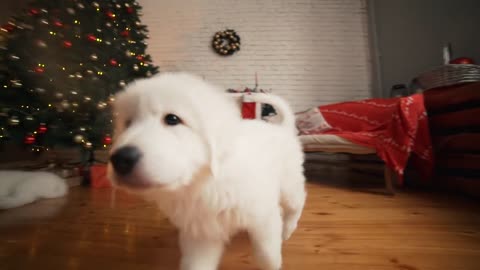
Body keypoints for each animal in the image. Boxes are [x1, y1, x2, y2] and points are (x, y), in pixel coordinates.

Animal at [107, 72, 306, 270]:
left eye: (172, 119)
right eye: (128, 123)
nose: (120, 159)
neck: (204, 182)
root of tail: (282, 128)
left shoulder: (263, 216)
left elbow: (267, 255)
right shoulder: (201, 232)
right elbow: (196, 264)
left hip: (289, 184)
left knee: (297, 202)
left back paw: (287, 229)